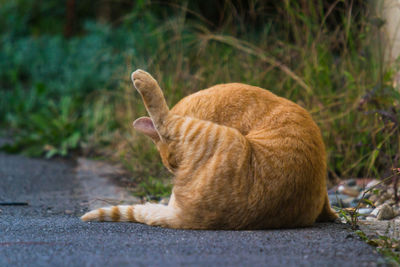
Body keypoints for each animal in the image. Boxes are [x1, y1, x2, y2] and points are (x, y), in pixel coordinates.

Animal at [81, 69, 338, 230]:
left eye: (174, 164)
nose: (180, 172)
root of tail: (186, 217)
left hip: (200, 132)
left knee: (164, 118)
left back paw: (143, 79)